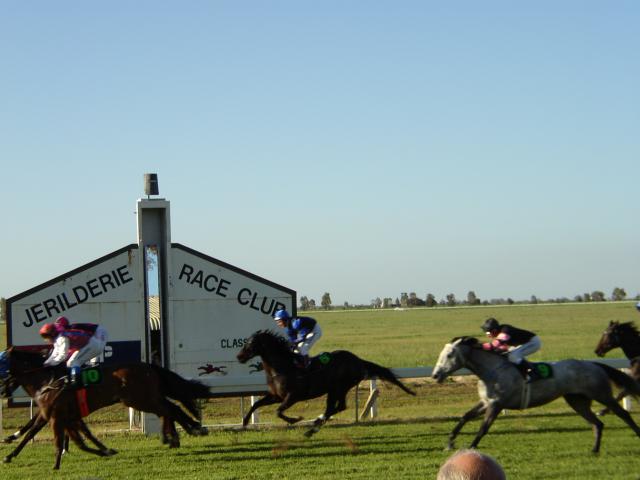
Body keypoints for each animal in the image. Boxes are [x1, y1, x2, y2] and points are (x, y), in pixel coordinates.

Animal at [0, 346, 212, 470]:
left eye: (1, 362)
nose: (2, 390)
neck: (48, 380)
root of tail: (149, 366)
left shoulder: (55, 415)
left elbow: (34, 433)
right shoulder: (54, 414)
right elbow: (31, 430)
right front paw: (10, 449)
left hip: (140, 399)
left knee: (170, 410)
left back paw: (187, 431)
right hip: (144, 398)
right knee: (170, 409)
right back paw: (180, 434)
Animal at [236, 330, 416, 436]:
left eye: (251, 343)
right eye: (245, 342)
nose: (239, 357)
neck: (283, 367)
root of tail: (358, 360)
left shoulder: (293, 396)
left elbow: (278, 411)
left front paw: (295, 419)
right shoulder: (276, 396)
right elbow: (257, 404)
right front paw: (244, 423)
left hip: (340, 387)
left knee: (335, 407)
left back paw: (313, 426)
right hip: (335, 389)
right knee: (337, 407)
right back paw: (317, 422)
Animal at [430, 336, 640, 452]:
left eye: (449, 355)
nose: (435, 375)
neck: (492, 370)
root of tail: (593, 364)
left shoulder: (496, 405)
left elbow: (483, 428)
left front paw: (471, 448)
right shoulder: (486, 402)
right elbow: (464, 417)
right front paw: (449, 443)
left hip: (602, 394)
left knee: (623, 414)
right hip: (577, 401)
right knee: (597, 424)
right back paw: (594, 450)